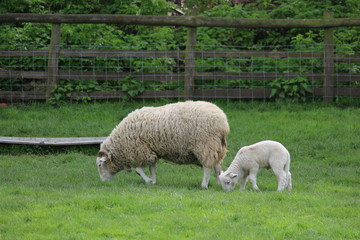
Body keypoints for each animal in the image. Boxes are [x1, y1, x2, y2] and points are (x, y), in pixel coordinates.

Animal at [96, 100, 228, 188]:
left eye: (99, 165)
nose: (103, 182)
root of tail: (223, 123)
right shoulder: (151, 150)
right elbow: (152, 168)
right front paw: (153, 181)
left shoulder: (140, 151)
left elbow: (138, 169)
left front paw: (148, 181)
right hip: (216, 147)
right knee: (217, 166)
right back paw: (218, 183)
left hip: (205, 145)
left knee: (207, 167)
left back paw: (204, 185)